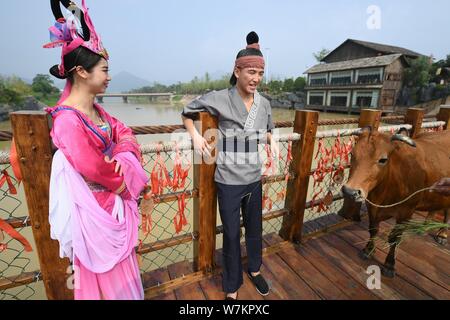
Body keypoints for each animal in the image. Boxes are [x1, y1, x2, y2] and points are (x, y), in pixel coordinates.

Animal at [342, 128, 450, 278]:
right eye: (352, 154)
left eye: (383, 159)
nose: (350, 191)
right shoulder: (372, 207)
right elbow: (373, 229)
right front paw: (368, 250)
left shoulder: (406, 212)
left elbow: (394, 238)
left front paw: (389, 264)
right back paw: (424, 227)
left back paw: (443, 234)